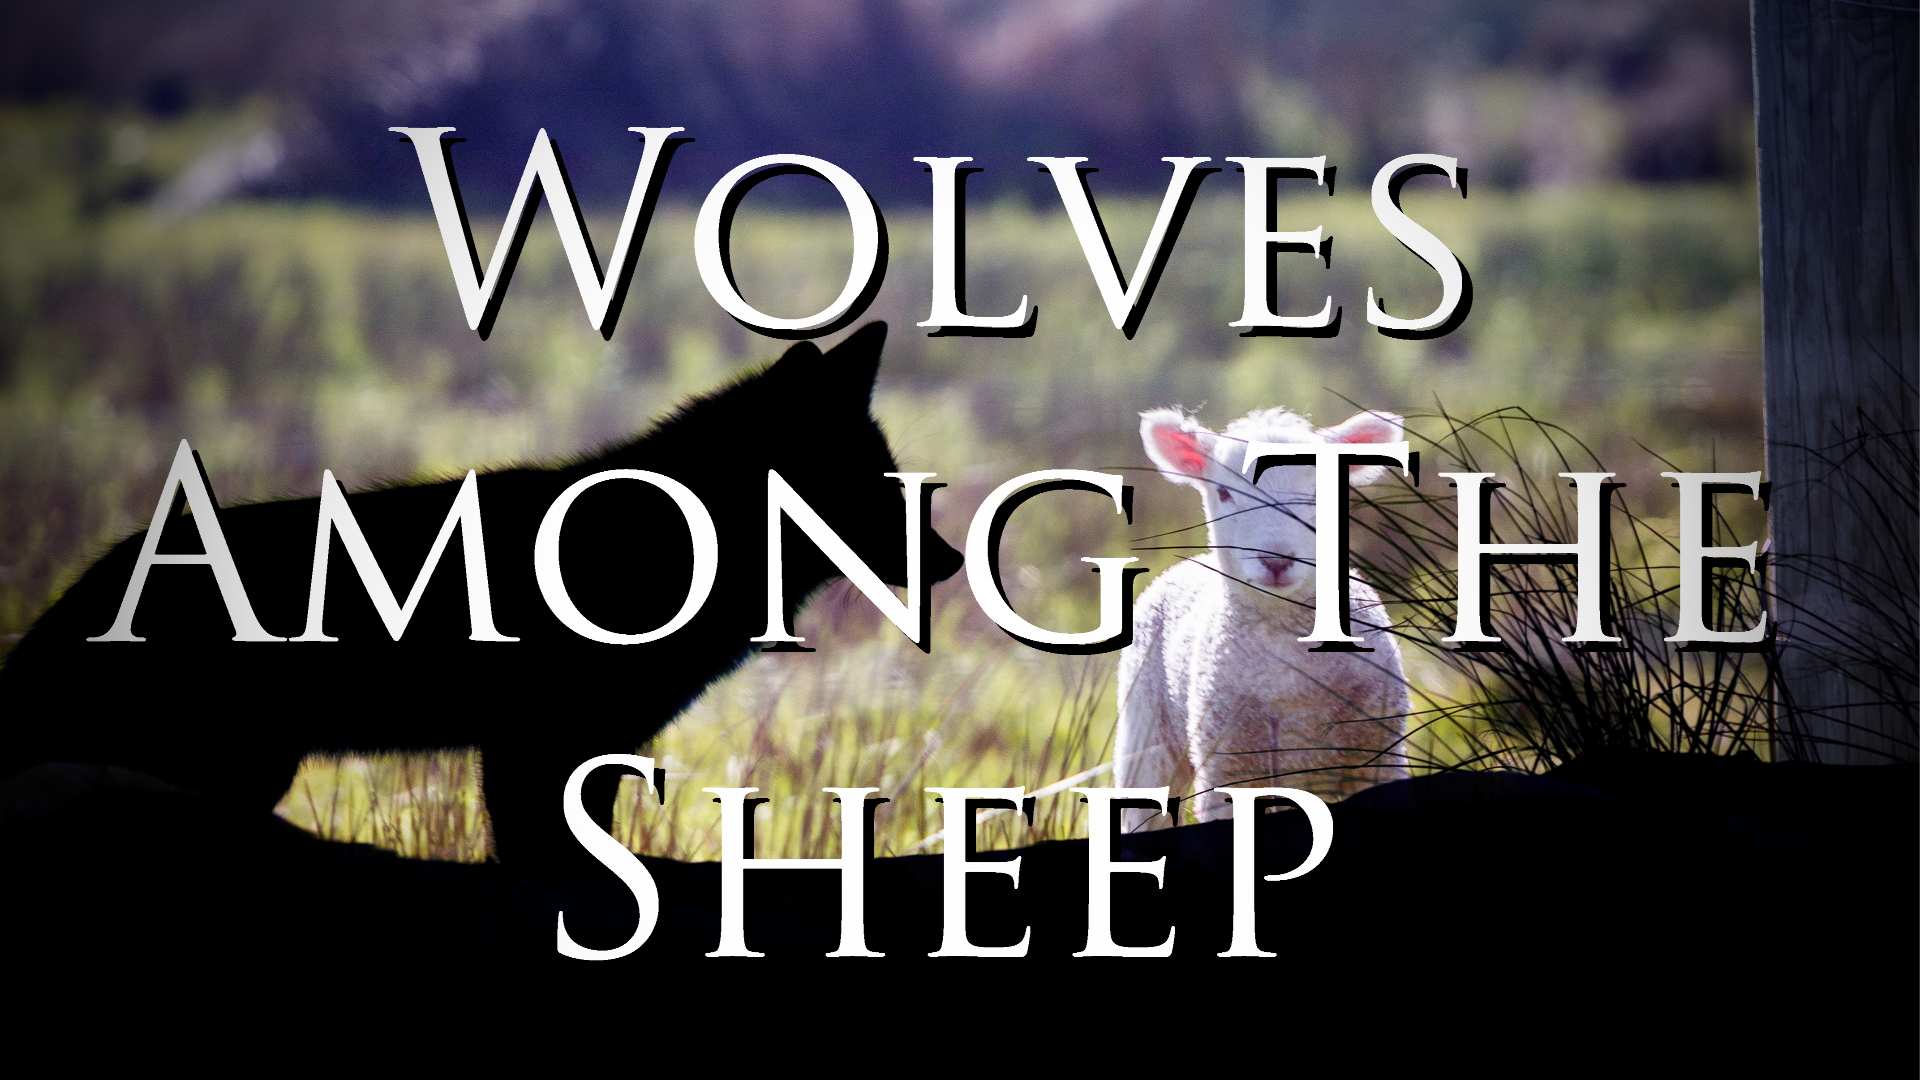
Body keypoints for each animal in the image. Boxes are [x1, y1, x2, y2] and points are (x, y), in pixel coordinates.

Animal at [1118, 405, 1411, 825]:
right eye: (1224, 493)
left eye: (1319, 492)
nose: (1275, 560)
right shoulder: (1228, 764)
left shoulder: (1380, 752)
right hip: (1146, 731)